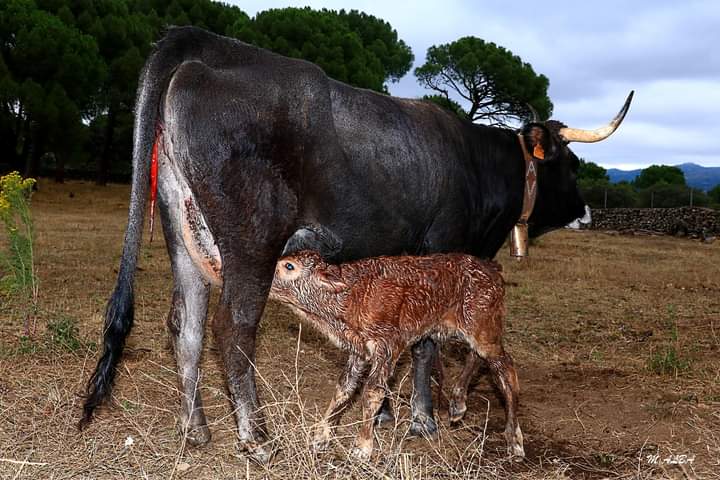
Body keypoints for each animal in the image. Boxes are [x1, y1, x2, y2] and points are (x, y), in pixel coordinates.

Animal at [79, 26, 632, 463]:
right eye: (571, 164)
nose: (587, 211)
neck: (474, 162)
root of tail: (204, 44)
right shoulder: (442, 247)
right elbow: (428, 343)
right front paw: (424, 418)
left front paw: (387, 412)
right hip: (252, 242)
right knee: (232, 327)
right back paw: (256, 437)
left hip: (184, 234)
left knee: (186, 326)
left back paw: (195, 429)